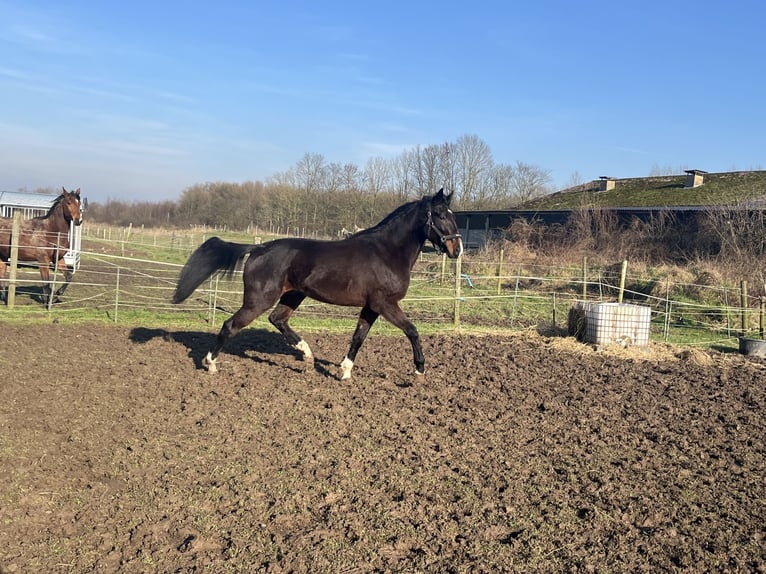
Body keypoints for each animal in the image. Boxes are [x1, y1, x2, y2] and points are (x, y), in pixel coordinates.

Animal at [172, 187, 462, 380]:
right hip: (259, 299)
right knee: (230, 325)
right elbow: (412, 330)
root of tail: (258, 248)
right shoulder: (385, 303)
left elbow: (358, 337)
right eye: (439, 214)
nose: (456, 249)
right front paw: (419, 369)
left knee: (277, 319)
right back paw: (210, 364)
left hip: (292, 295)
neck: (387, 251)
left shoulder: (371, 306)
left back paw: (306, 354)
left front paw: (344, 371)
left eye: (451, 213)